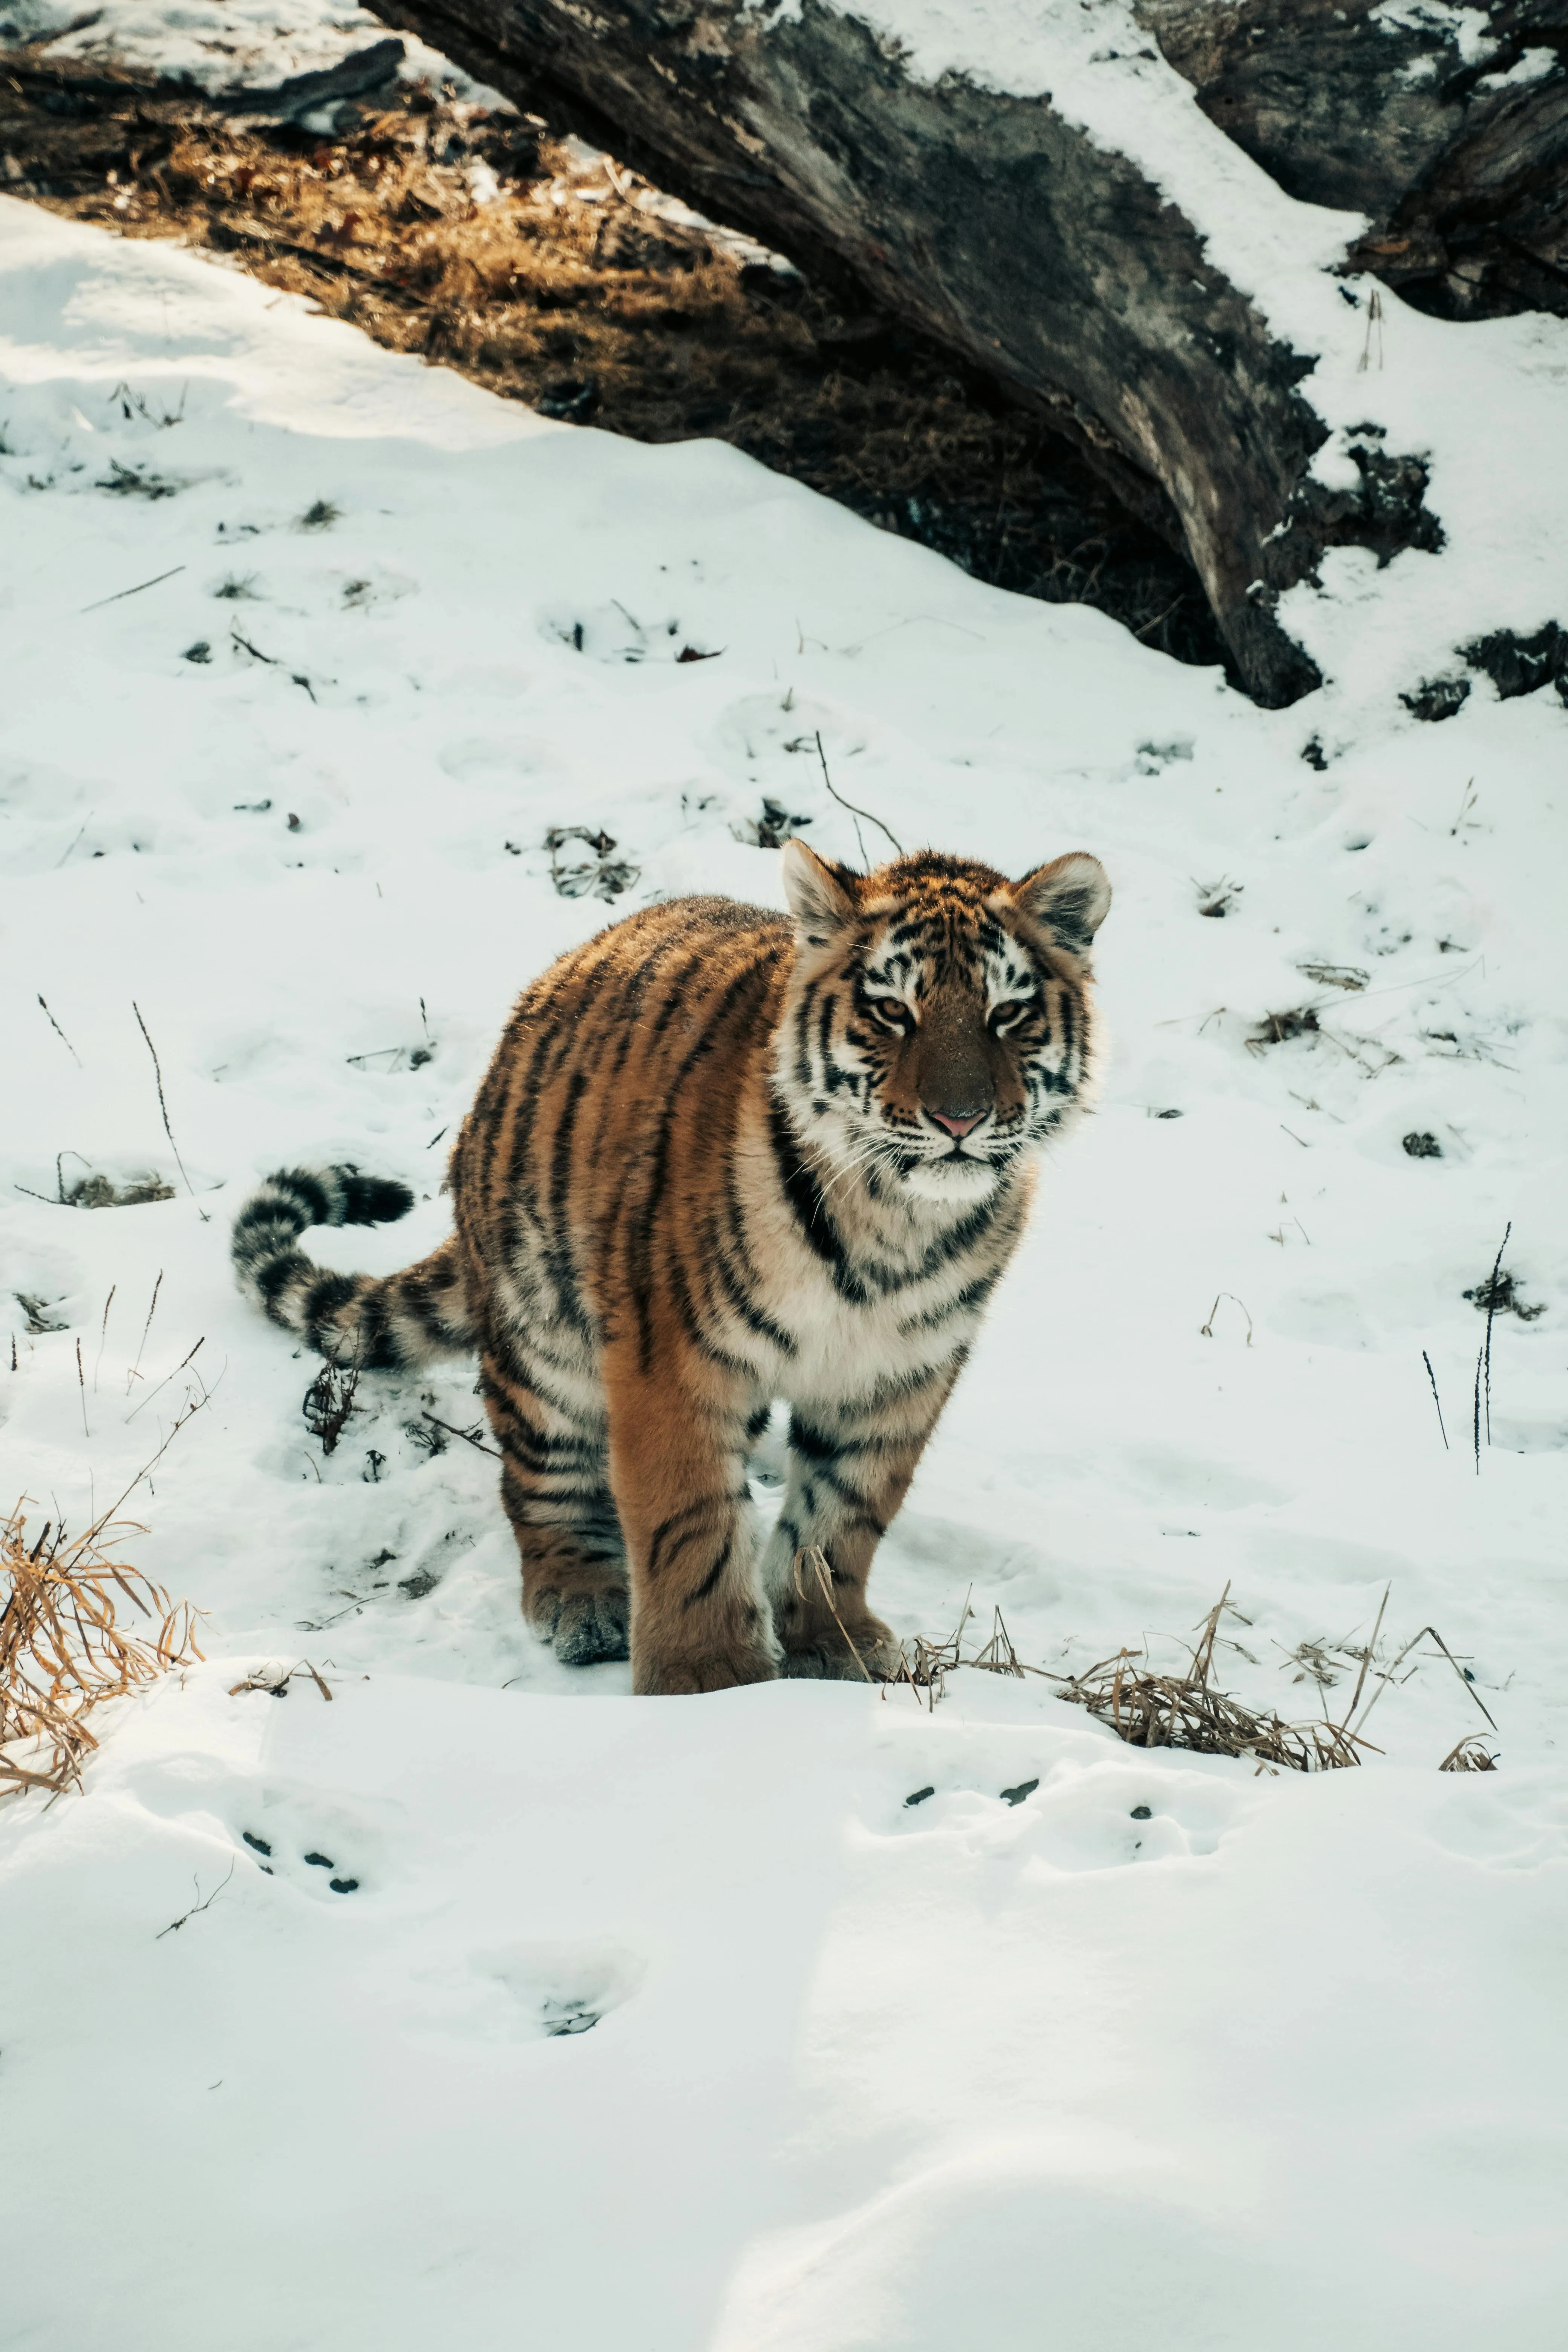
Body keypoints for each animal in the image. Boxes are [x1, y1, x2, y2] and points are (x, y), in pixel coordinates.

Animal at [231, 839, 1111, 1695]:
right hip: (543, 1330)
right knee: (537, 1477)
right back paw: (581, 1599)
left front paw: (831, 1645)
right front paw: (707, 1678)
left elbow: (843, 1519)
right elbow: (690, 1521)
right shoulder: (675, 1356)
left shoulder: (895, 1375)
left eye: (1008, 1013)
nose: (959, 1119)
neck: (893, 1217)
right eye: (893, 1010)